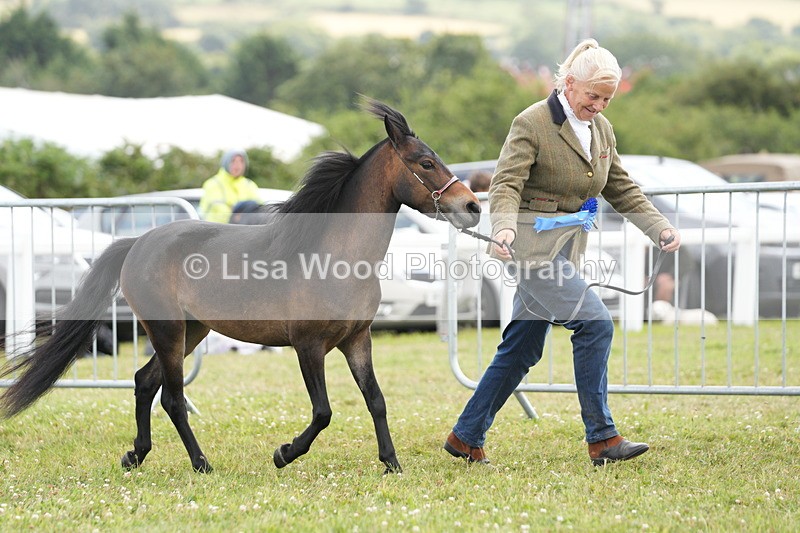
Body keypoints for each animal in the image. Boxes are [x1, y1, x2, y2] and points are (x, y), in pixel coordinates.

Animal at [0, 98, 481, 474]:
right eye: (425, 163)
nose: (472, 206)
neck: (335, 257)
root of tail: (138, 242)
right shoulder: (308, 346)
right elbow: (323, 411)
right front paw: (284, 453)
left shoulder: (357, 340)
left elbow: (376, 400)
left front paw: (392, 463)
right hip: (169, 331)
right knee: (172, 398)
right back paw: (201, 464)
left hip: (191, 332)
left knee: (143, 382)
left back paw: (136, 456)